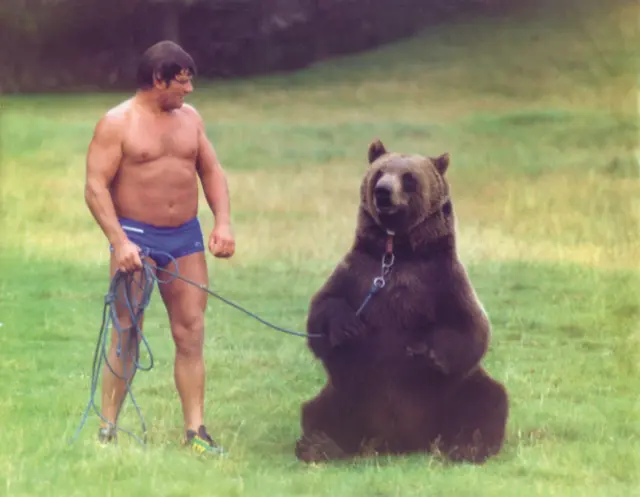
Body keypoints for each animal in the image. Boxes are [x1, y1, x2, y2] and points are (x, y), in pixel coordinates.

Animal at [295, 139, 509, 464]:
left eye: (409, 178)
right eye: (379, 172)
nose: (383, 191)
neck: (397, 253)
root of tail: (400, 444)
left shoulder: (441, 279)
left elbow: (471, 326)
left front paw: (425, 350)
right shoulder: (359, 272)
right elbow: (323, 309)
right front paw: (348, 327)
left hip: (452, 395)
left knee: (488, 399)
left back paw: (468, 446)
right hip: (347, 391)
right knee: (318, 410)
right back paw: (320, 444)